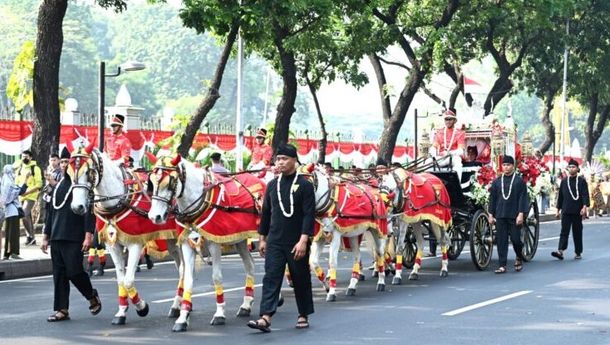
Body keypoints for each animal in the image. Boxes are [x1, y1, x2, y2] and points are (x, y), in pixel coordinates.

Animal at [68, 143, 183, 326]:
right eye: (69, 173)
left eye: (88, 172)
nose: (77, 207)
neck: (119, 199)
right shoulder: (113, 245)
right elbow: (121, 279)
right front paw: (121, 312)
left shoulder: (135, 243)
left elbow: (129, 280)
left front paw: (142, 307)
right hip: (171, 242)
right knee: (182, 269)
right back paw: (176, 306)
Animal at [150, 155, 262, 330]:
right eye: (151, 183)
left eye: (170, 184)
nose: (155, 216)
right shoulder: (186, 243)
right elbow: (188, 278)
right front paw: (182, 317)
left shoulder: (214, 243)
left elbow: (216, 277)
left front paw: (219, 313)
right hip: (240, 239)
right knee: (250, 264)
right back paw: (246, 305)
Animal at [306, 165, 388, 300]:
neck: (328, 201)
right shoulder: (320, 237)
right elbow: (313, 263)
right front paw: (327, 286)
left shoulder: (335, 235)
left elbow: (332, 262)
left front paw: (332, 292)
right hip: (354, 234)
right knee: (357, 256)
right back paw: (352, 286)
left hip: (377, 230)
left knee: (379, 253)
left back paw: (381, 281)